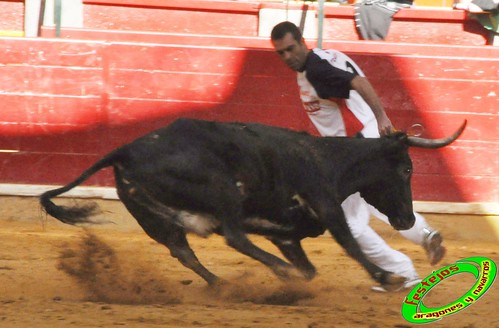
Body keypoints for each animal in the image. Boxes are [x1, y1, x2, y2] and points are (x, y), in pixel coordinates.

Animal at [41, 118, 466, 288]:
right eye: (407, 169)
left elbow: (311, 266)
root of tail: (125, 149)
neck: (326, 159)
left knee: (184, 252)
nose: (405, 218)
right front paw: (386, 278)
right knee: (232, 236)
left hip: (155, 221)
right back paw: (272, 274)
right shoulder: (326, 205)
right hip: (222, 189)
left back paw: (223, 284)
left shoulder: (286, 233)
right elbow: (349, 244)